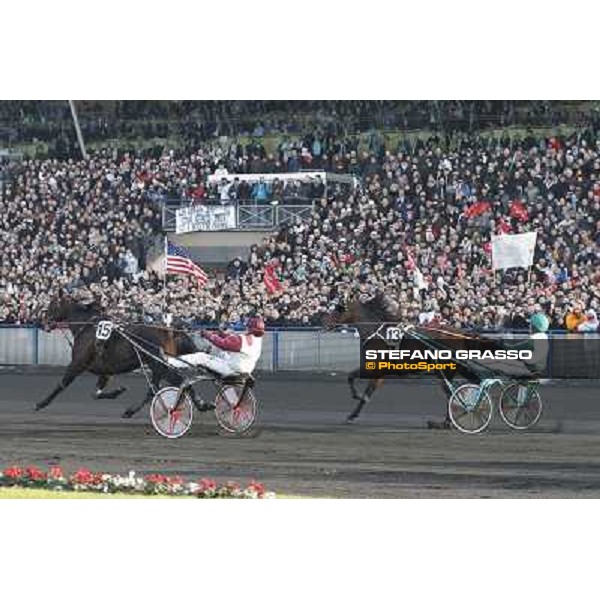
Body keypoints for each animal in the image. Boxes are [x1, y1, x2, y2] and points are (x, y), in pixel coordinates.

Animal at [37, 294, 197, 418]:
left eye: (52, 304)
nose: (44, 322)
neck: (86, 327)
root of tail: (168, 330)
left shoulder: (78, 363)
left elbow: (62, 384)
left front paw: (41, 403)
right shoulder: (105, 370)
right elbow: (96, 393)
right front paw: (117, 391)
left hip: (158, 364)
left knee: (178, 382)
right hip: (157, 365)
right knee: (157, 389)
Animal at [326, 294, 494, 426]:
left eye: (338, 309)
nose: (326, 322)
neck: (377, 334)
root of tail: (462, 334)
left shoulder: (372, 368)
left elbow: (351, 377)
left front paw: (356, 398)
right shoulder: (379, 374)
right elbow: (367, 390)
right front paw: (353, 413)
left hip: (444, 370)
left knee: (450, 392)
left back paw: (448, 421)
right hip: (454, 368)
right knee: (464, 387)